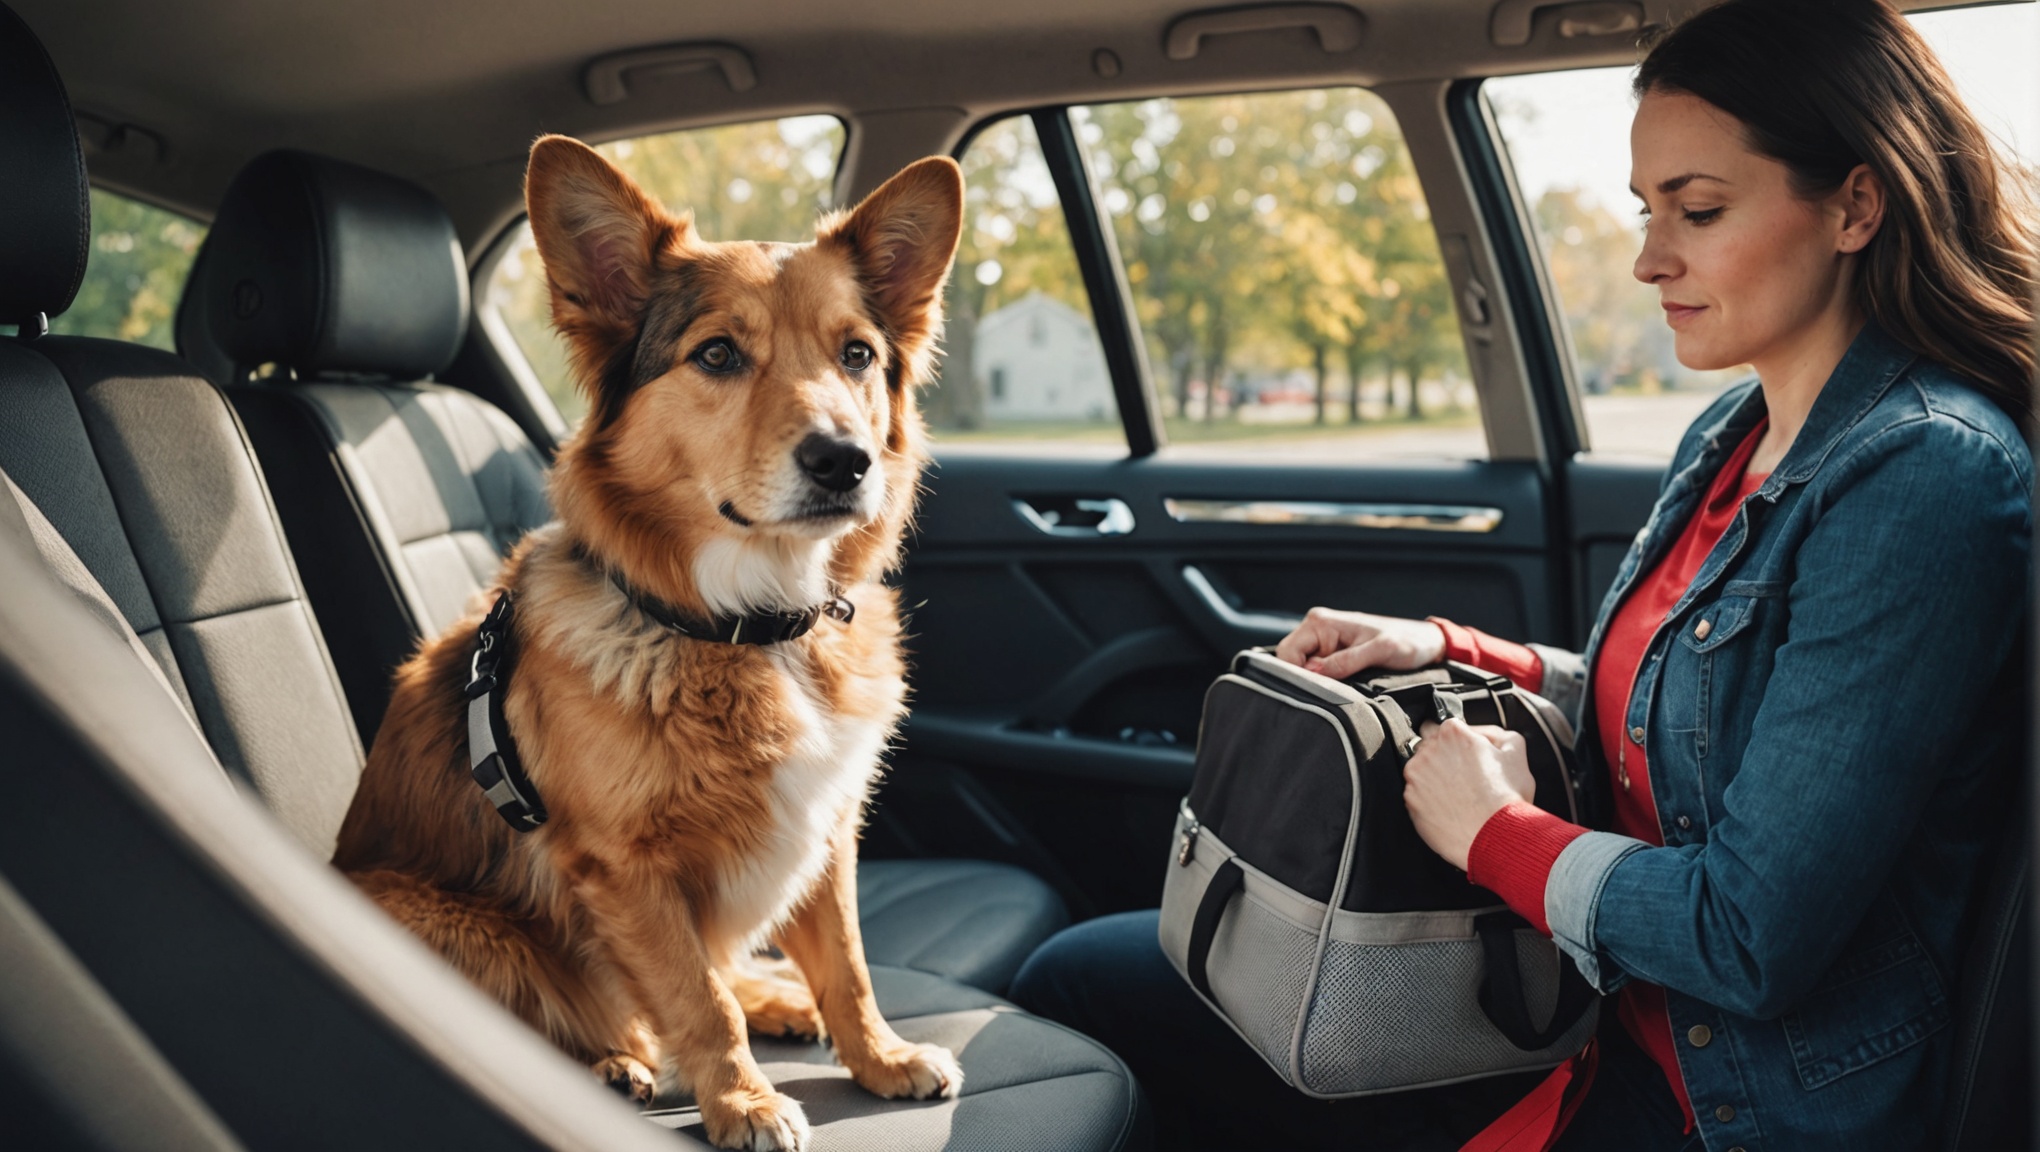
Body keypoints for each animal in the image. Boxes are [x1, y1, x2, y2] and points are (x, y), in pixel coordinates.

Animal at [330, 136, 966, 1149]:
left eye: (857, 354)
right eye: (717, 354)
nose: (845, 461)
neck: (753, 626)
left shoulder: (827, 831)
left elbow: (848, 965)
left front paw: (879, 1056)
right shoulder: (625, 869)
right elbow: (700, 1002)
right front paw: (743, 1102)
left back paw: (776, 1001)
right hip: (432, 916)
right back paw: (612, 1062)